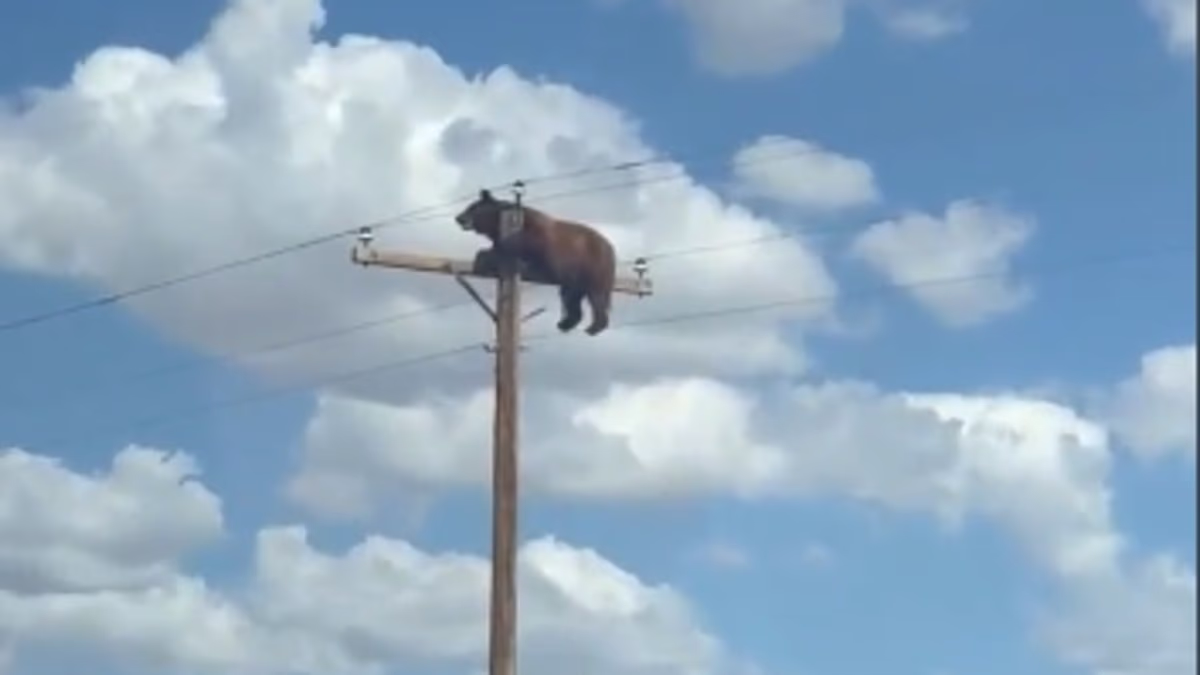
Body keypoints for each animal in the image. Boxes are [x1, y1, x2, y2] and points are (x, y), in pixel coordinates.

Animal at [454, 189, 616, 336]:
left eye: (472, 207)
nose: (458, 217)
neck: (496, 223)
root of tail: (611, 248)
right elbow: (494, 251)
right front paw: (481, 260)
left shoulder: (537, 234)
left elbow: (520, 244)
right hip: (575, 276)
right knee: (570, 296)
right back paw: (565, 323)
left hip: (594, 266)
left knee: (596, 295)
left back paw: (593, 327)